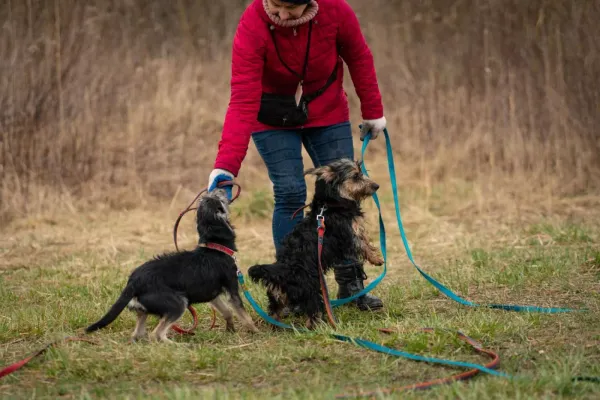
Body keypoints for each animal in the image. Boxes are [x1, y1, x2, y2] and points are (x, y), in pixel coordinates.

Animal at [84, 189, 258, 342]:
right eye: (218, 199)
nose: (220, 188)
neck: (215, 247)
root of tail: (133, 282)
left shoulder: (213, 296)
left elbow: (227, 312)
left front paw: (230, 329)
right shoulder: (232, 290)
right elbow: (244, 314)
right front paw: (256, 332)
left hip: (144, 310)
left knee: (138, 334)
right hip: (178, 304)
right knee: (156, 334)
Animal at [247, 158, 380, 330]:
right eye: (356, 176)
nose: (376, 186)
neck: (330, 203)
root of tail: (284, 271)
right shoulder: (351, 233)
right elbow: (364, 244)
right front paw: (377, 259)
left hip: (278, 294)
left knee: (274, 311)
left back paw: (275, 326)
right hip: (311, 289)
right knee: (313, 312)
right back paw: (321, 326)